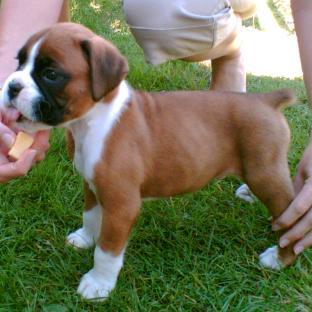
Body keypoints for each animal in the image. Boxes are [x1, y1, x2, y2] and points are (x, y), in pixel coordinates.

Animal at [0, 22, 298, 300]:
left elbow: (107, 251)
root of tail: (266, 100)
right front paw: (85, 238)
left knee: (291, 217)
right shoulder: (92, 185)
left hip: (265, 173)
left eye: (50, 75)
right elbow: (91, 215)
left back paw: (279, 257)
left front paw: (98, 283)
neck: (93, 120)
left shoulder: (121, 207)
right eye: (19, 62)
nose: (12, 86)